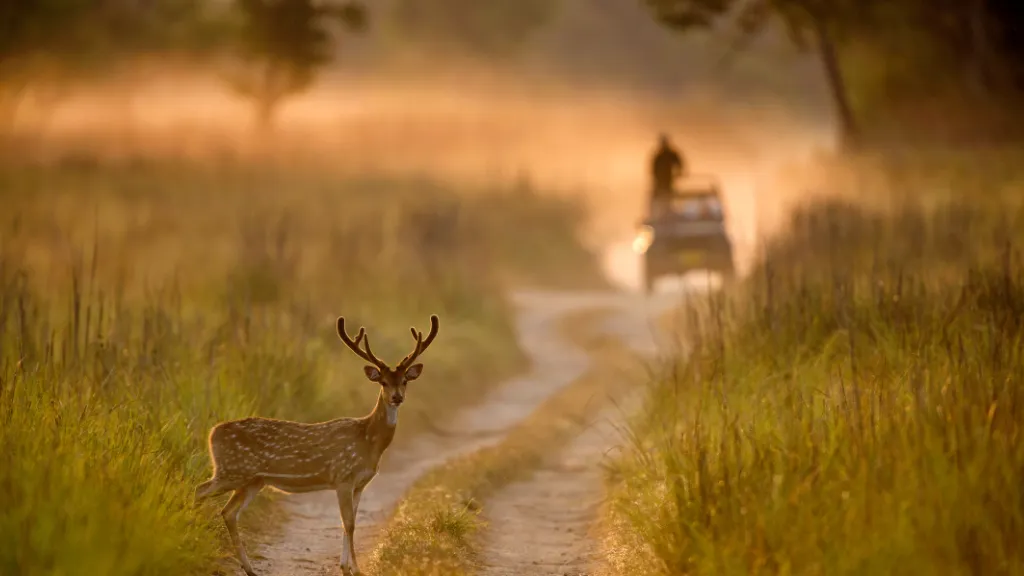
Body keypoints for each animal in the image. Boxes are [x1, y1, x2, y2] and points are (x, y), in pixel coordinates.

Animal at [195, 313, 440, 573]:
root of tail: (212, 433)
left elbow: (349, 522)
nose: (397, 397)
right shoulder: (343, 476)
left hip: (253, 480)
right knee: (200, 490)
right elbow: (349, 523)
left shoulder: (360, 484)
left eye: (405, 381)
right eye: (382, 381)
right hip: (232, 470)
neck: (368, 441)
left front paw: (346, 566)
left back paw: (249, 568)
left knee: (229, 512)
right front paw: (355, 569)